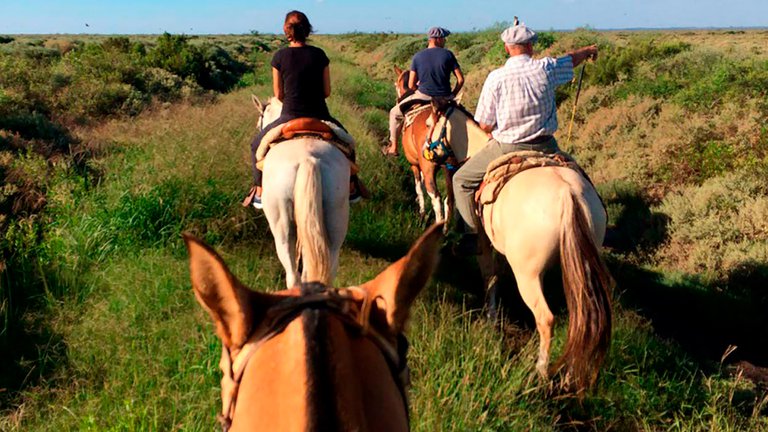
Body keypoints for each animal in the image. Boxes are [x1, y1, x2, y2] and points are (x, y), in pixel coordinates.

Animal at [396, 66, 456, 226]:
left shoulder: (415, 164)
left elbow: (418, 187)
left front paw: (421, 212)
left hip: (429, 167)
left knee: (436, 197)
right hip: (451, 170)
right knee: (449, 200)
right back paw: (444, 228)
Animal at [426, 102, 612, 392]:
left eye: (428, 124)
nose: (425, 151)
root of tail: (568, 195)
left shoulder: (484, 244)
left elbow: (490, 278)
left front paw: (491, 319)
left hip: (527, 275)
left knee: (546, 318)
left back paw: (541, 371)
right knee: (583, 318)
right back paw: (570, 374)